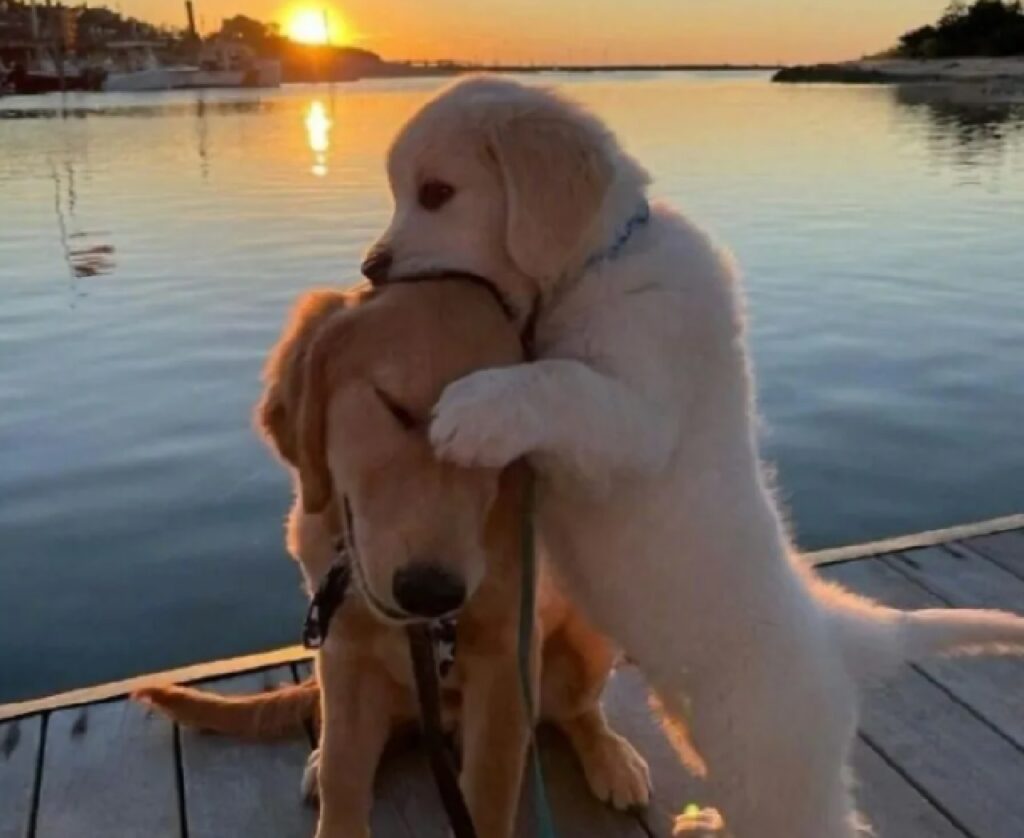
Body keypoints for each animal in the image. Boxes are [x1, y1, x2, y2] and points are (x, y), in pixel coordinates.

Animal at [138, 280, 647, 835]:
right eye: (394, 407)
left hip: (591, 640)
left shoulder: (504, 666)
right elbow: (342, 776)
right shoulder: (343, 653)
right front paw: (332, 783)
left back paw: (611, 757)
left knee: (577, 709)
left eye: (501, 438)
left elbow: (488, 796)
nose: (431, 592)